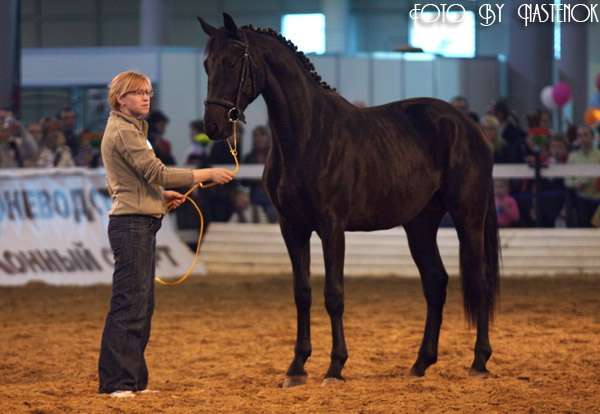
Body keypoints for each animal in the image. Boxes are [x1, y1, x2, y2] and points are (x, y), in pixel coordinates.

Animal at [199, 14, 500, 386]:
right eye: (207, 64)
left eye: (231, 62)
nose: (212, 126)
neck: (308, 135)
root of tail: (471, 128)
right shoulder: (292, 228)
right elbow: (302, 293)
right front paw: (296, 367)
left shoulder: (332, 227)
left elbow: (334, 294)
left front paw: (335, 367)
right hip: (420, 225)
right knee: (435, 282)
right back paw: (420, 363)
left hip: (468, 218)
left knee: (480, 281)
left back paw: (479, 361)